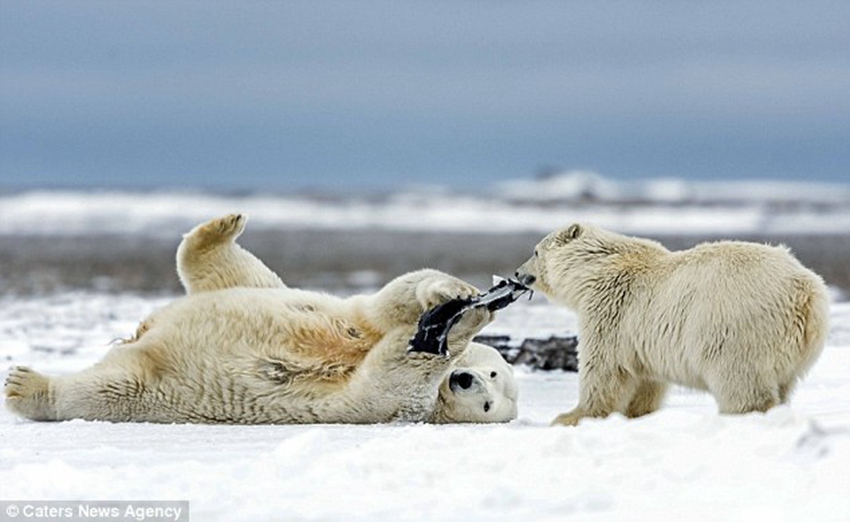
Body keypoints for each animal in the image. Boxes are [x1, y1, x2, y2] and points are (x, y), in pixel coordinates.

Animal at [4, 213, 516, 424]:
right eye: (492, 373)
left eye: (488, 402)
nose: (465, 380)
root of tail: (143, 335)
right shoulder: (354, 321)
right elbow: (382, 305)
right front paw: (461, 297)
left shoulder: (394, 408)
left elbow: (387, 377)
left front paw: (456, 326)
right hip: (256, 290)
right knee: (227, 268)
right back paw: (226, 225)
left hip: (153, 387)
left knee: (101, 391)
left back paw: (24, 385)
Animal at [512, 221, 824, 424]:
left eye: (535, 251)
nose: (517, 273)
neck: (594, 269)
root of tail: (805, 292)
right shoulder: (640, 335)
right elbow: (646, 381)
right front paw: (636, 413)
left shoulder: (610, 310)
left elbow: (603, 368)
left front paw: (570, 416)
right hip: (792, 347)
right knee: (782, 385)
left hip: (736, 328)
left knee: (741, 382)